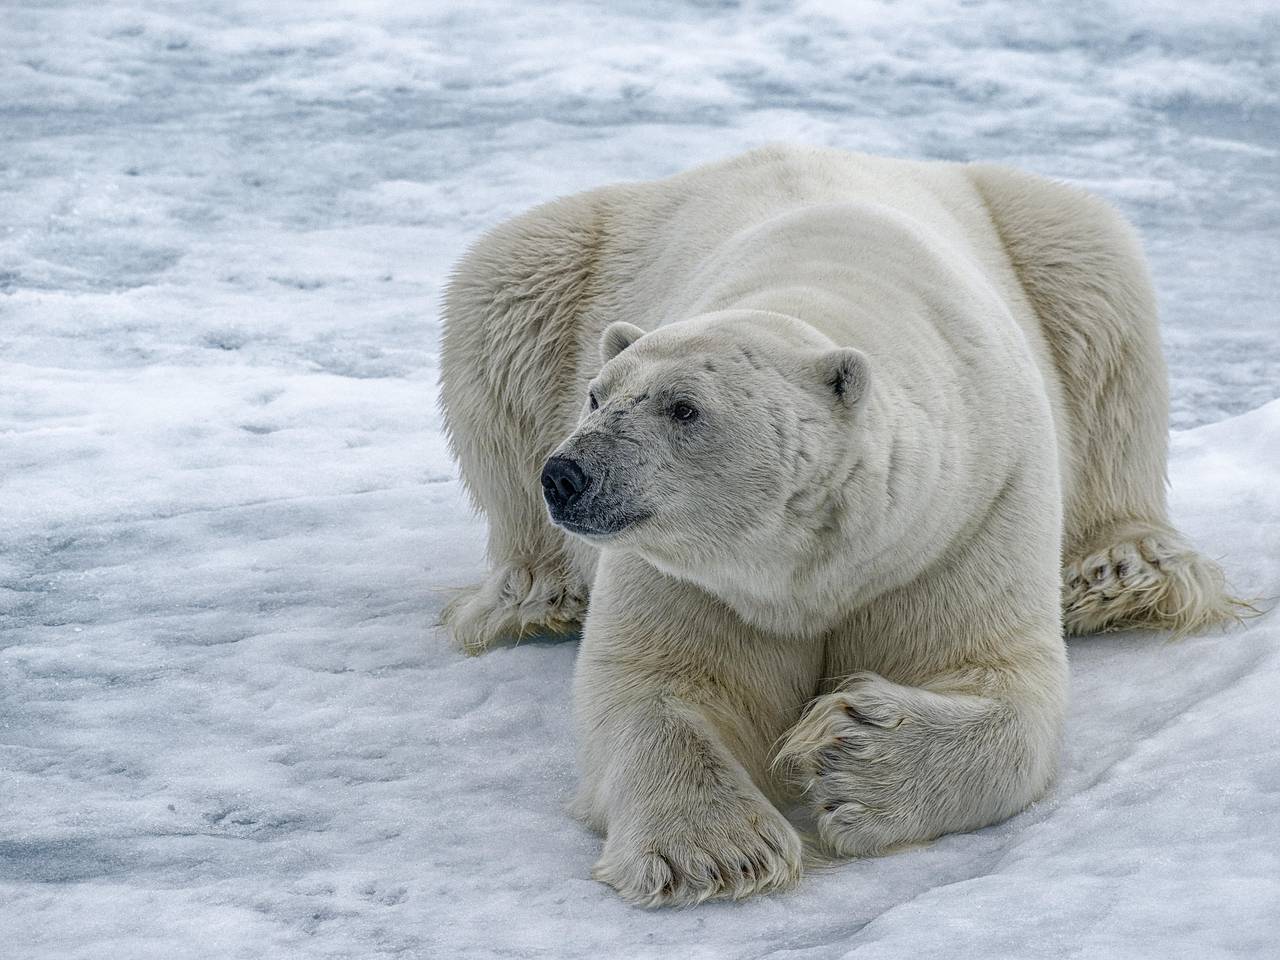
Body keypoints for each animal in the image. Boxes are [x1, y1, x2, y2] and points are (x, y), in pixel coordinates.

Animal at [435, 146, 1233, 906]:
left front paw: (853, 758)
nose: (567, 475)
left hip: (1037, 236)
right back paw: (534, 595)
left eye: (683, 407)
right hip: (574, 252)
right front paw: (715, 850)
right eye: (597, 397)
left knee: (1104, 308)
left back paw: (1123, 573)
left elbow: (998, 680)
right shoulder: (691, 573)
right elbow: (656, 683)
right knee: (500, 305)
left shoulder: (965, 512)